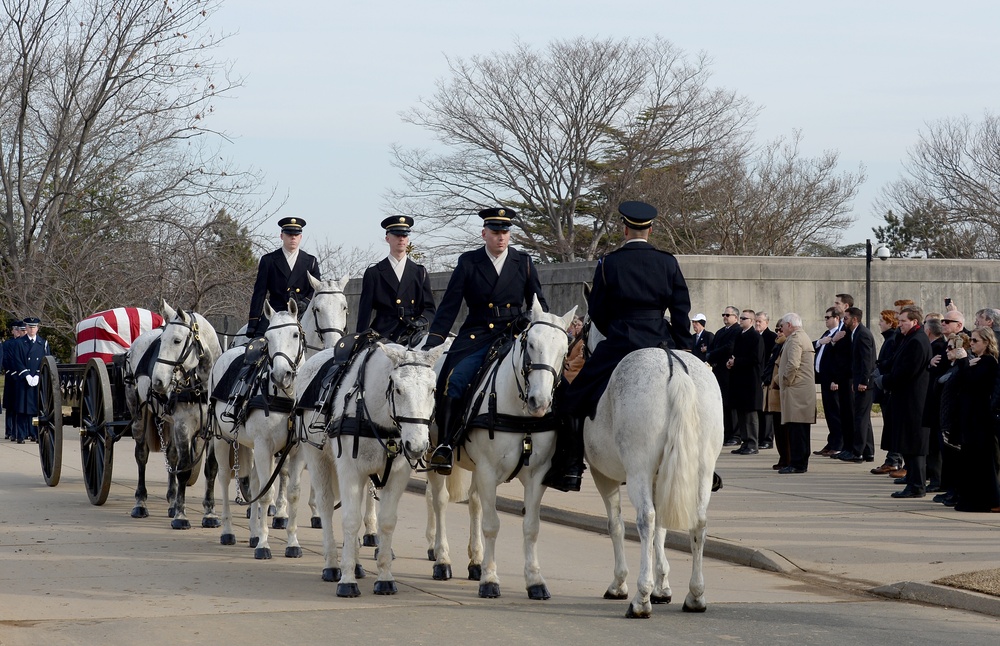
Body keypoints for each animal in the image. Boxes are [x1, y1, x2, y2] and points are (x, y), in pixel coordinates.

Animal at [127, 302, 223, 528]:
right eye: (162, 341)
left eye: (177, 340)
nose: (158, 381)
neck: (202, 385)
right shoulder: (183, 426)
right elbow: (185, 468)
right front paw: (181, 515)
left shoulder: (210, 430)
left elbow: (210, 469)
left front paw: (209, 513)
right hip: (139, 414)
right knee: (141, 455)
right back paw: (140, 502)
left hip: (167, 420)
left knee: (171, 456)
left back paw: (171, 501)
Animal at [211, 274, 352, 556]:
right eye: (267, 337)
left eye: (344, 307)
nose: (280, 374)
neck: (289, 396)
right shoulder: (265, 446)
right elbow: (266, 492)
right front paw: (264, 544)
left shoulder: (295, 450)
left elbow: (291, 491)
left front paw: (291, 541)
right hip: (223, 440)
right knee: (224, 478)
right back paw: (228, 530)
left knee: (254, 481)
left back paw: (253, 531)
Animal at [292, 342, 442, 600]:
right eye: (398, 389)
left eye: (432, 389)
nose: (417, 446)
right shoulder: (349, 470)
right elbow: (350, 519)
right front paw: (347, 580)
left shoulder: (397, 474)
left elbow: (387, 522)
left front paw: (384, 577)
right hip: (317, 458)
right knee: (326, 506)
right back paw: (333, 564)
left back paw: (355, 562)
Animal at [424, 302, 580, 600]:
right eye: (530, 344)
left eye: (564, 350)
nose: (540, 402)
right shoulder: (487, 470)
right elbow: (492, 524)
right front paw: (490, 579)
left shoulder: (537, 476)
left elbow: (531, 527)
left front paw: (534, 580)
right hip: (434, 456)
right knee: (439, 501)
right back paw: (442, 559)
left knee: (474, 502)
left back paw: (475, 561)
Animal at [584, 330, 720, 616]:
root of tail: (674, 367)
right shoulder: (661, 478)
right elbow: (662, 528)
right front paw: (662, 586)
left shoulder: (603, 474)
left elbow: (616, 524)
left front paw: (621, 584)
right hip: (702, 470)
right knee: (699, 522)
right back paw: (695, 596)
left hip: (638, 471)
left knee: (645, 518)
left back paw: (641, 600)